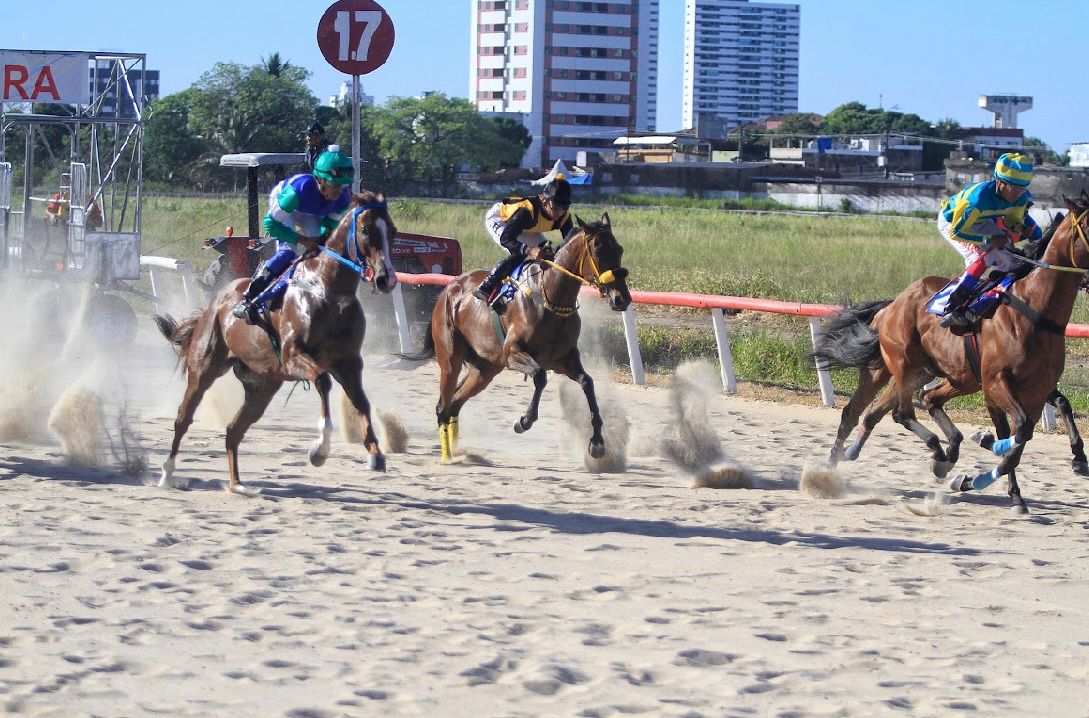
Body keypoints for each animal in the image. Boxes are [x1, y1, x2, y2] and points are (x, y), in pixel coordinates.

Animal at [157, 190, 400, 494]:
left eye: (392, 231)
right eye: (366, 229)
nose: (385, 279)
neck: (327, 292)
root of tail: (215, 303)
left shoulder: (349, 363)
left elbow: (361, 402)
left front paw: (375, 453)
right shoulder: (294, 355)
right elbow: (323, 381)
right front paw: (320, 450)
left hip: (262, 385)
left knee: (233, 430)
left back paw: (237, 485)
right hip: (204, 369)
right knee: (183, 419)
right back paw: (167, 473)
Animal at [422, 210, 631, 464]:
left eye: (619, 249)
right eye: (599, 250)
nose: (622, 298)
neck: (552, 297)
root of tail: (450, 288)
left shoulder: (564, 359)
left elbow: (587, 382)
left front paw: (598, 442)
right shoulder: (513, 353)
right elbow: (540, 377)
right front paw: (524, 421)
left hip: (485, 369)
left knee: (455, 403)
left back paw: (457, 451)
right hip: (450, 358)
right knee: (442, 406)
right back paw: (447, 457)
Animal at [814, 193, 1089, 514]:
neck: (1035, 312)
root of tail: (893, 305)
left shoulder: (1036, 389)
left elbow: (1034, 428)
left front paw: (1071, 463)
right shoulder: (995, 384)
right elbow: (1016, 434)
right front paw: (987, 450)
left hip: (932, 374)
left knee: (895, 407)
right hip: (897, 365)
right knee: (883, 412)